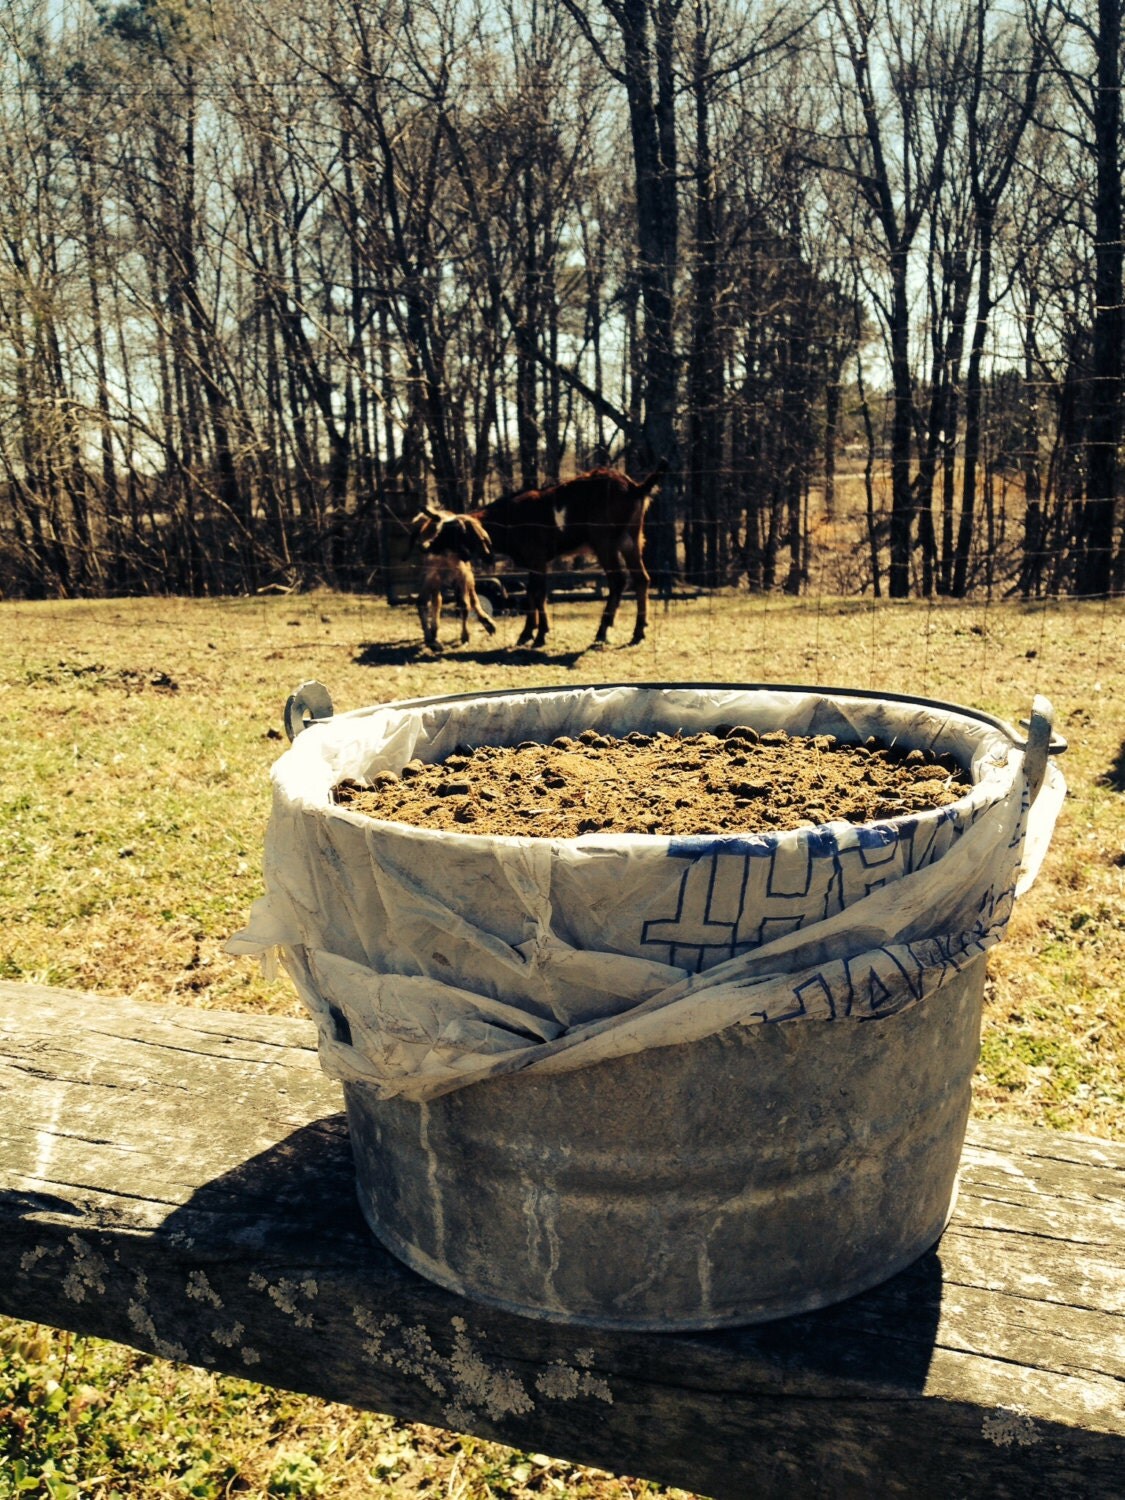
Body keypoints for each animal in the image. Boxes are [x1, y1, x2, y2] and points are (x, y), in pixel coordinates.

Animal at [410, 507, 497, 653]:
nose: (424, 546)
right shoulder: (431, 577)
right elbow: (423, 602)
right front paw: (431, 640)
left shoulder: (463, 576)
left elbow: (464, 605)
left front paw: (465, 636)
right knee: (434, 601)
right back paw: (433, 634)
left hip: (466, 577)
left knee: (472, 598)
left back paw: (488, 623)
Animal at [471, 464, 665, 649]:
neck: (511, 517)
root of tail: (634, 488)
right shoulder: (533, 563)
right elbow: (531, 591)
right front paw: (526, 634)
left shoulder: (538, 559)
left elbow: (538, 593)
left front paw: (540, 635)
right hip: (632, 541)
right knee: (641, 579)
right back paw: (638, 633)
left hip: (604, 542)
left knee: (618, 580)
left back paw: (602, 632)